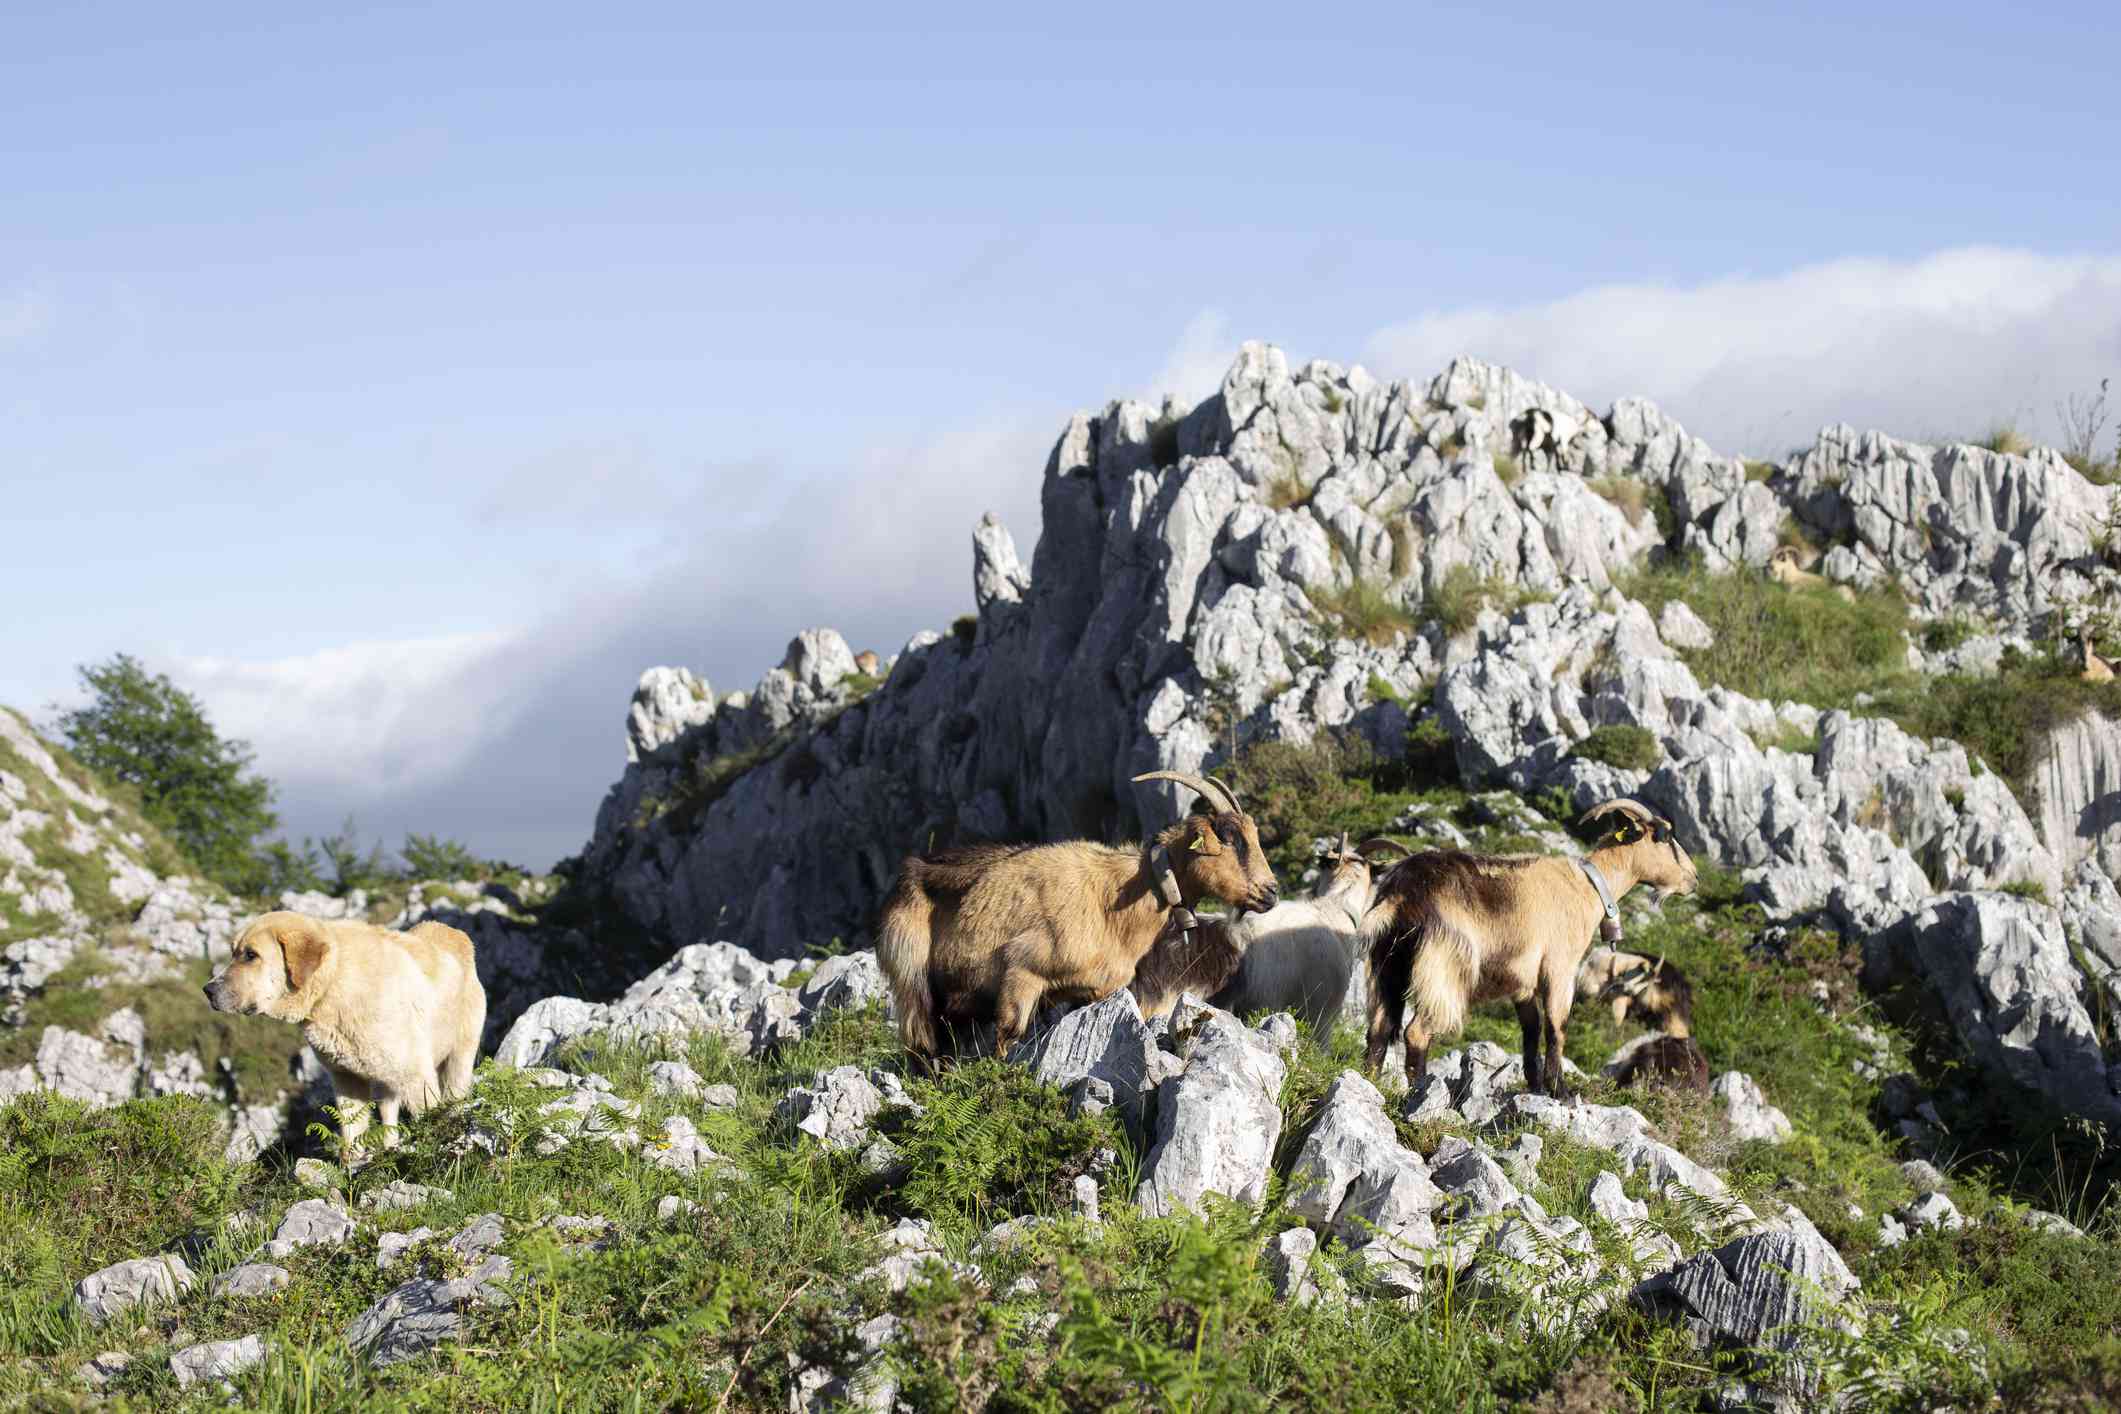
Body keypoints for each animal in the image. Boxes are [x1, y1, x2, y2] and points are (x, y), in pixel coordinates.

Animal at [204, 911, 485, 1144]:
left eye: (251, 955)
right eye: (233, 952)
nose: (208, 990)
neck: (333, 983)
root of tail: (458, 934)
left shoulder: (416, 1077)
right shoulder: (347, 1079)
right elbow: (351, 1136)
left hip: (458, 1060)